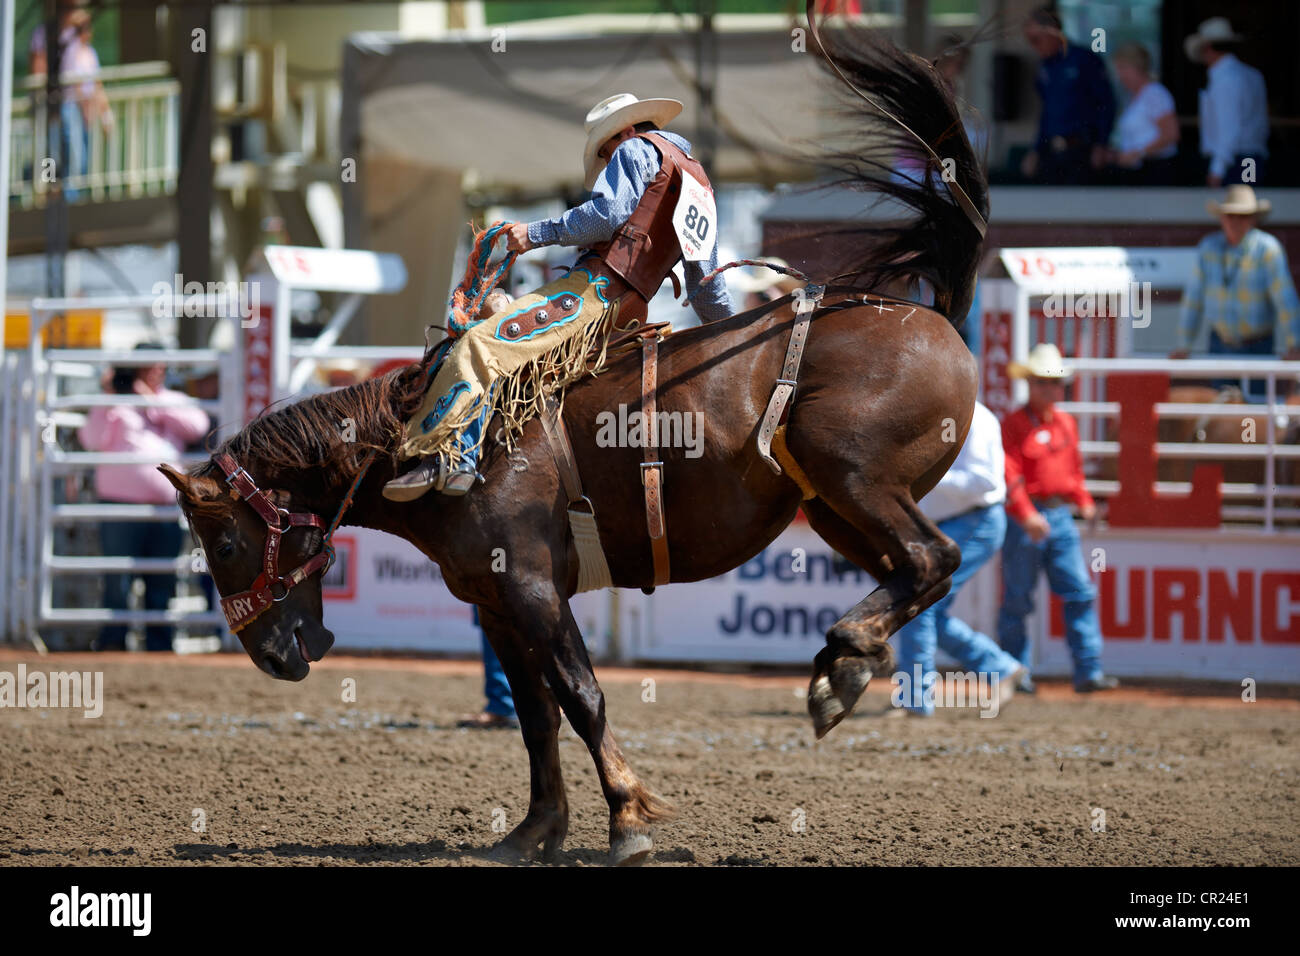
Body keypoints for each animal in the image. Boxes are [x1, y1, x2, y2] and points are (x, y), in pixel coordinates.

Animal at [154, 29, 982, 868]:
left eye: (224, 545)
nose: (271, 658)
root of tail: (931, 315)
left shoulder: (533, 587)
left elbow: (582, 697)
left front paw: (629, 821)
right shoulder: (494, 604)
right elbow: (535, 718)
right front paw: (532, 831)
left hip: (855, 478)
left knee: (932, 557)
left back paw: (844, 653)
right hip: (839, 508)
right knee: (917, 570)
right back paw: (843, 670)